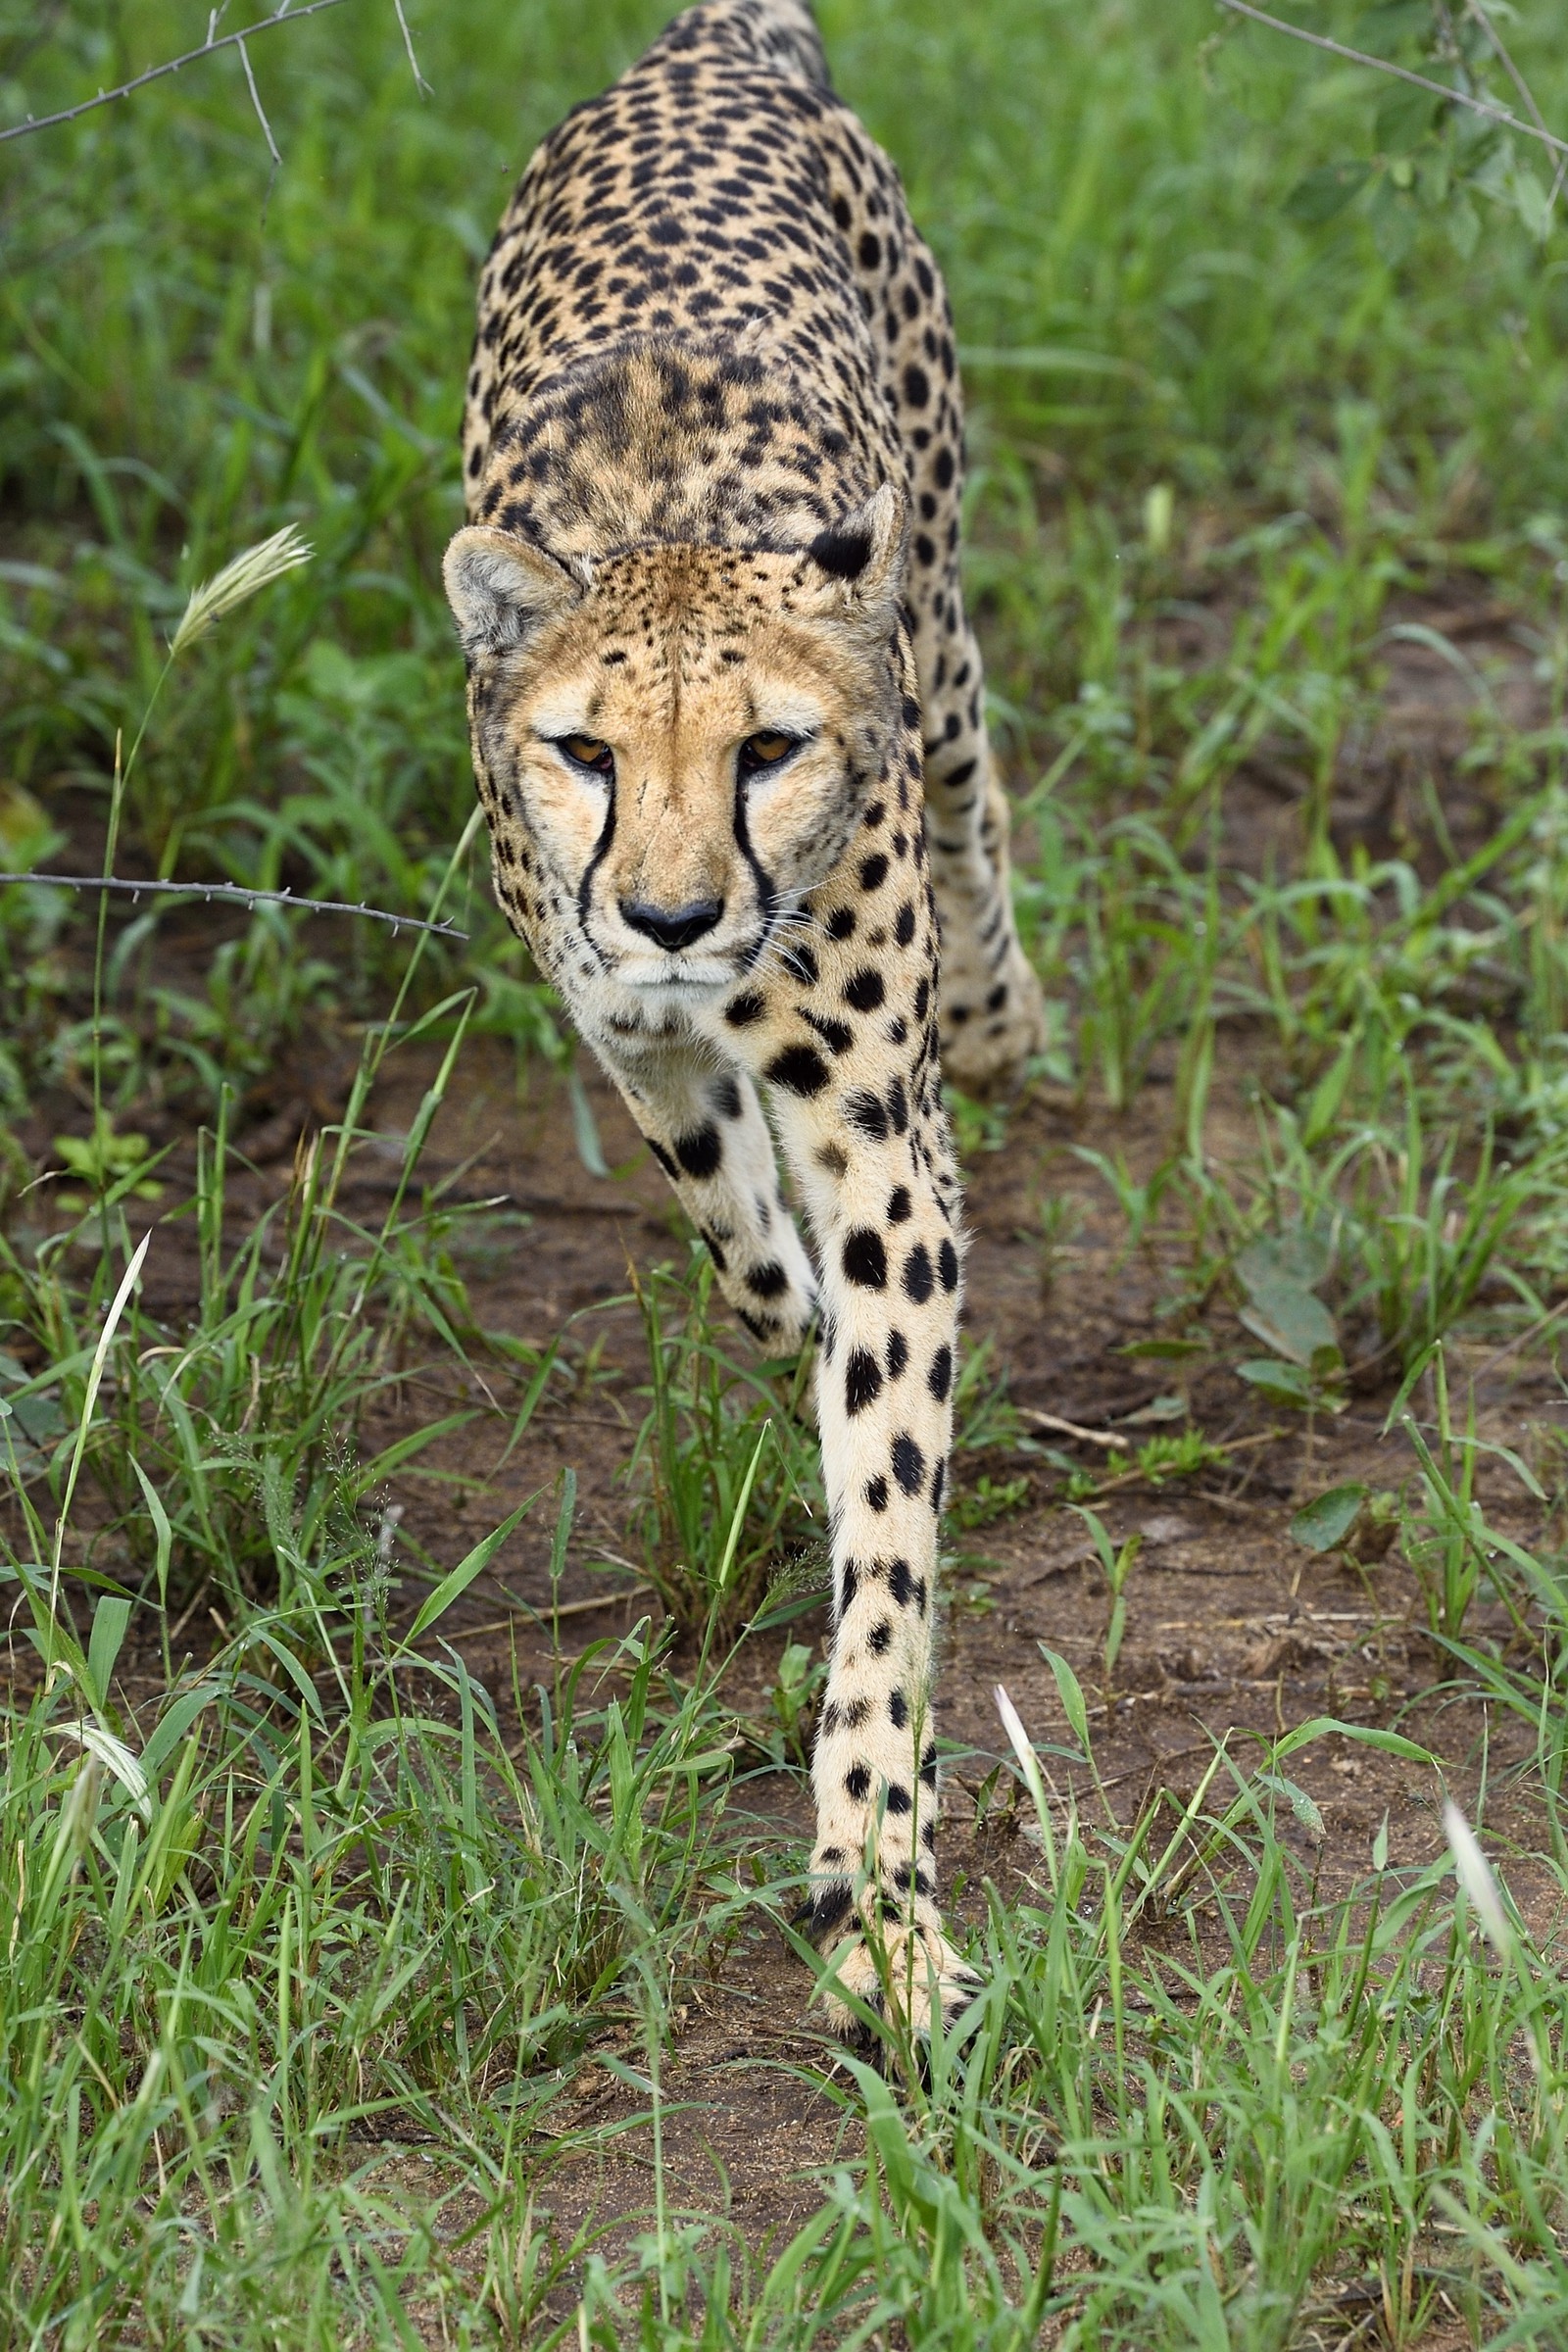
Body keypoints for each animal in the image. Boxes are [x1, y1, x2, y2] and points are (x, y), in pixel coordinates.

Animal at [444, 0, 1046, 2035]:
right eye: (588, 753)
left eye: (769, 748)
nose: (673, 909)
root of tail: (710, 43)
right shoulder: (624, 1030)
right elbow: (733, 1232)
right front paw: (784, 1296)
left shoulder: (880, 1138)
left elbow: (891, 1514)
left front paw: (878, 1880)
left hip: (939, 603)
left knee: (980, 787)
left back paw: (1004, 1005)